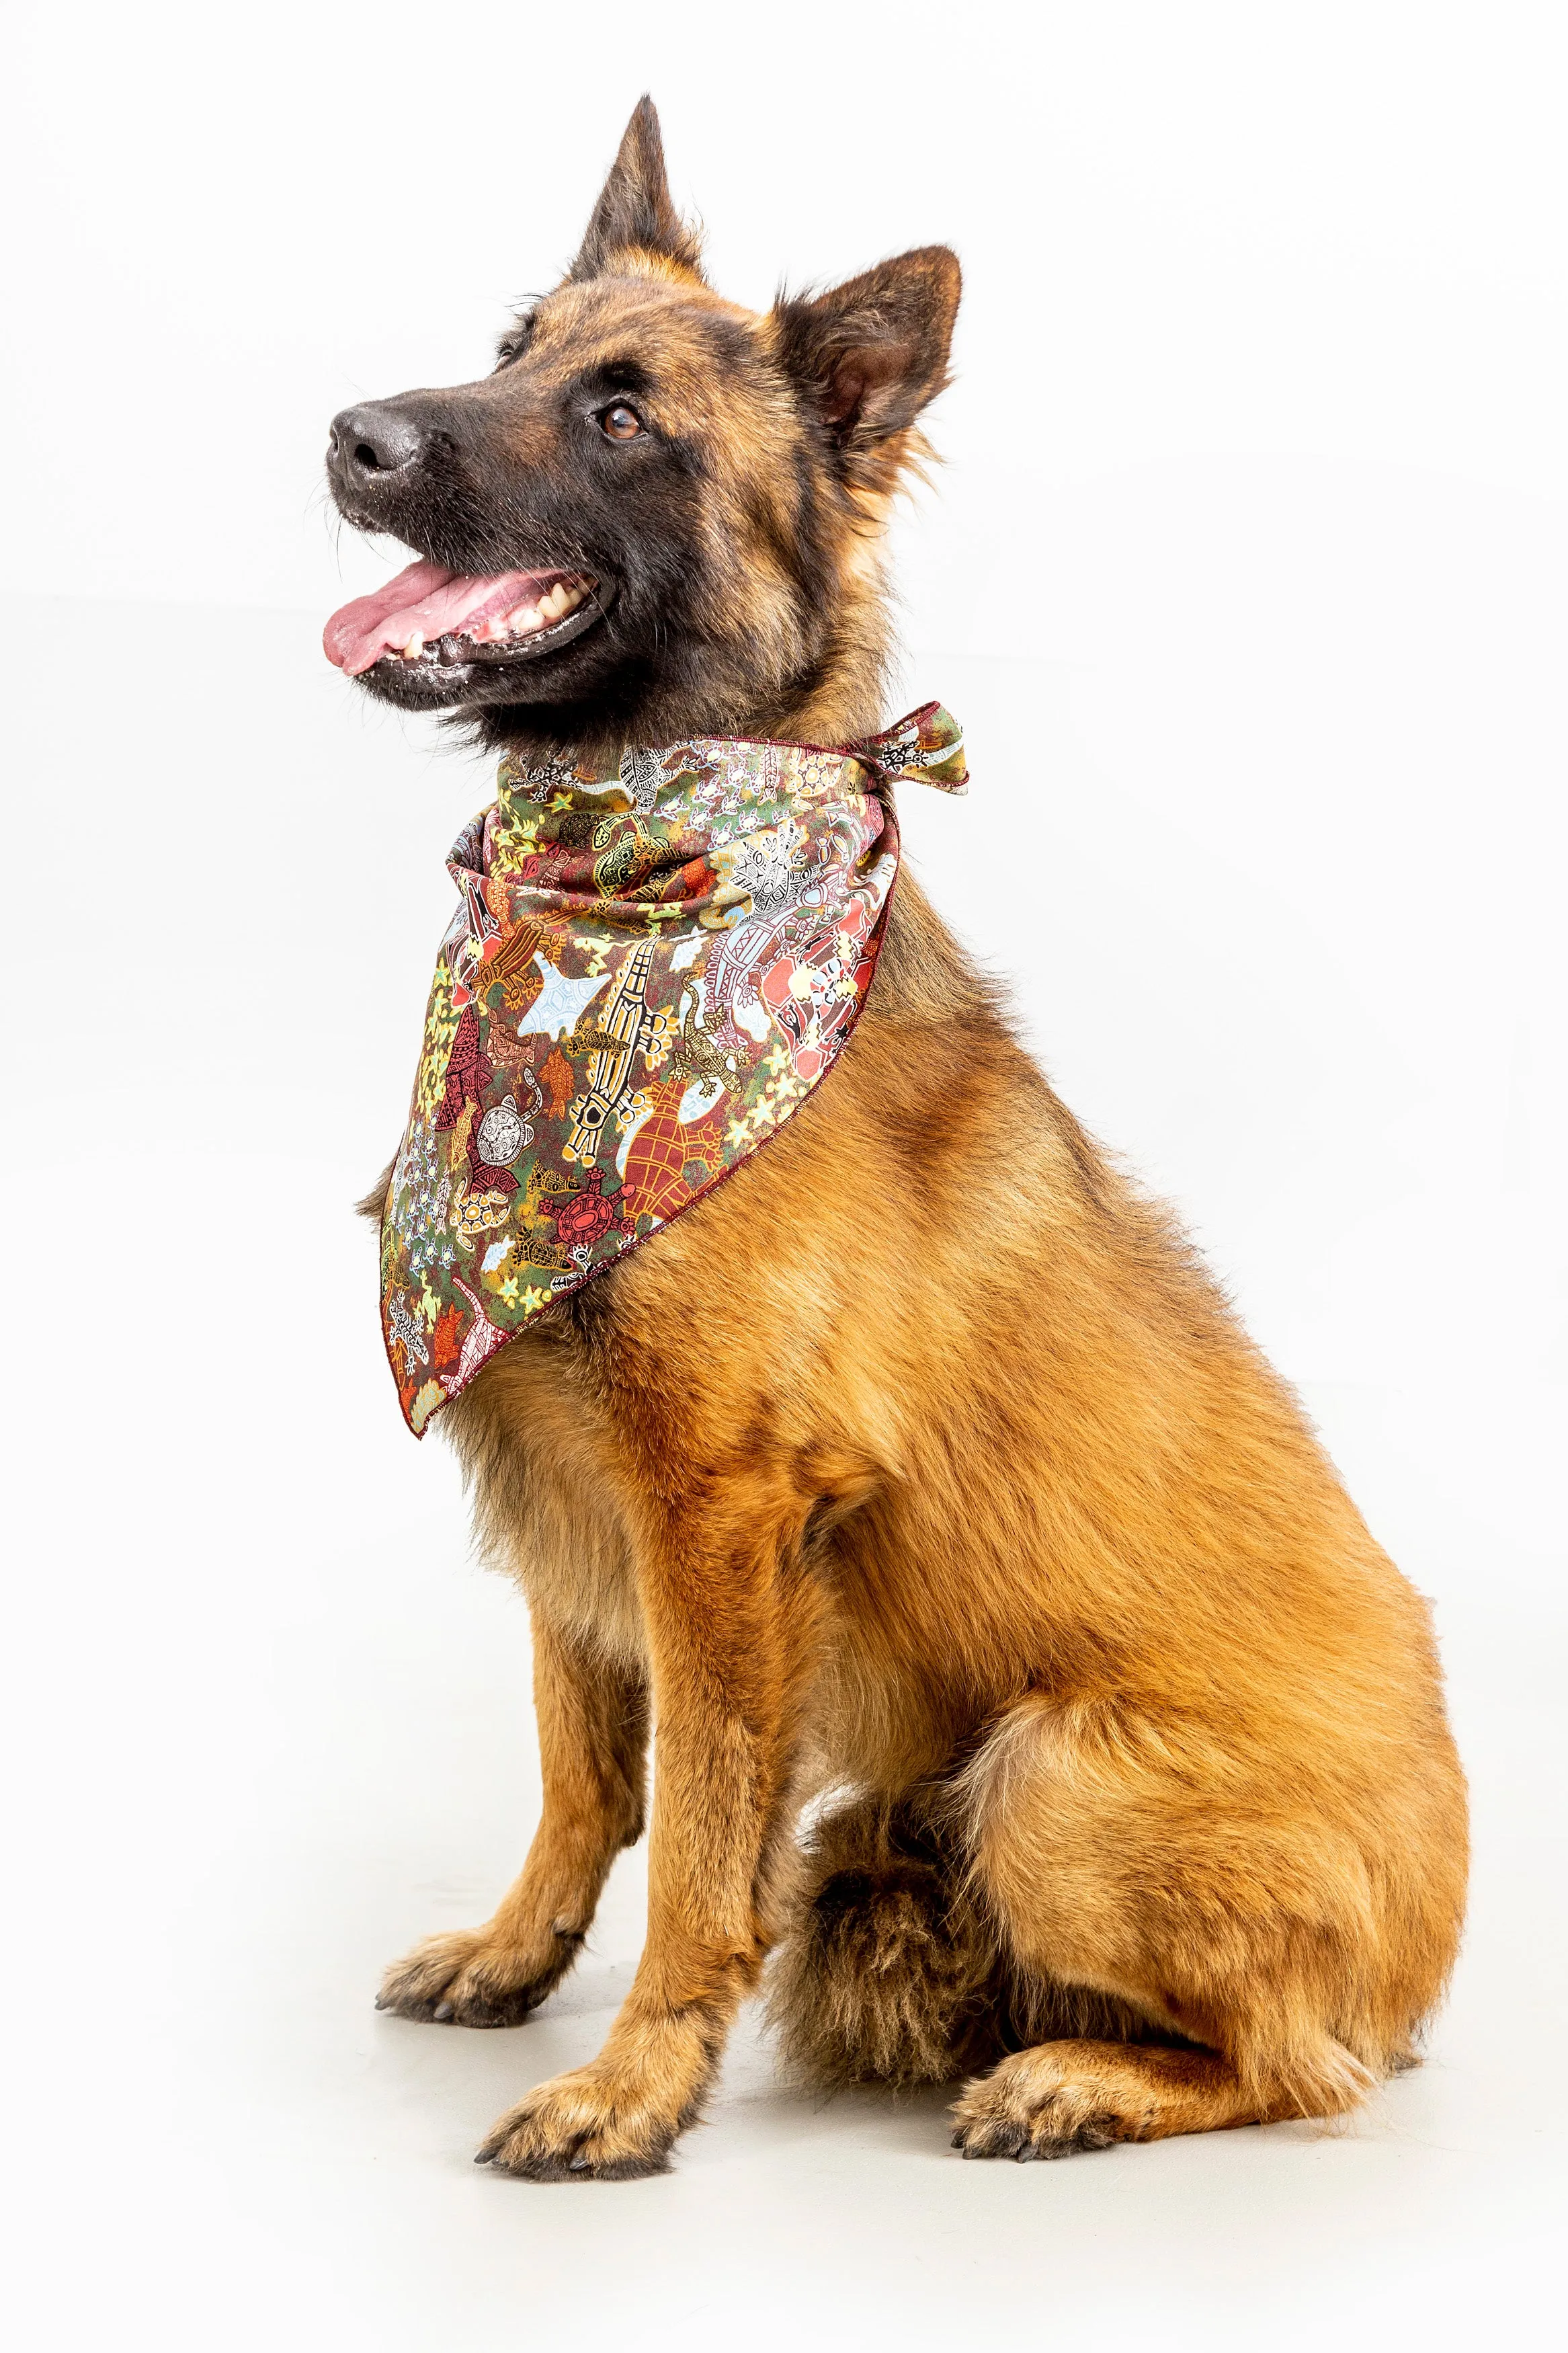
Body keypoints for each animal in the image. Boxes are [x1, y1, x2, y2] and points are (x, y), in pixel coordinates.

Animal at [324, 96, 1467, 2184]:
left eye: (623, 415)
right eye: (512, 344)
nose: (350, 437)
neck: (640, 898)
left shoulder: (713, 1513)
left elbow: (698, 1832)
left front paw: (634, 2082)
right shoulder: (577, 1496)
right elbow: (577, 1767)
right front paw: (517, 1955)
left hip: (1045, 1774)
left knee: (1295, 2064)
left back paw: (1078, 2078)